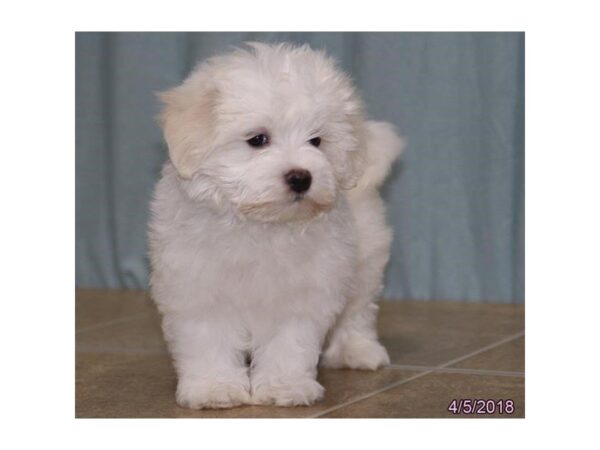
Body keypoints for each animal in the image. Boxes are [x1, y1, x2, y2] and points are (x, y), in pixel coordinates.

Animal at [148, 43, 406, 412]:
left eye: (316, 141)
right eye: (258, 139)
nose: (301, 177)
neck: (261, 225)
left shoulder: (303, 294)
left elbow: (290, 342)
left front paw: (285, 387)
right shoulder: (197, 287)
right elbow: (208, 339)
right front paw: (214, 388)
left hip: (366, 259)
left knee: (358, 309)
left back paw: (357, 350)